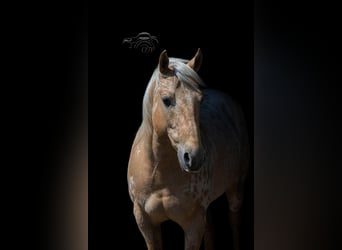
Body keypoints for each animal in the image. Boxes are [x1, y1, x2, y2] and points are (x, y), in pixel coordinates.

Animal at [127, 47, 250, 249]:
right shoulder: (146, 223)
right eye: (166, 100)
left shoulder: (193, 225)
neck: (159, 174)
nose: (194, 157)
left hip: (235, 190)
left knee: (234, 222)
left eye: (200, 100)